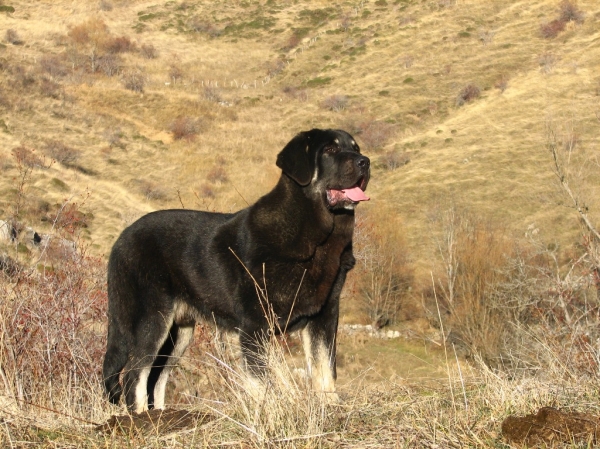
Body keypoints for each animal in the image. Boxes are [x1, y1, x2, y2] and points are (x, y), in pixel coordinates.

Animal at [103, 128, 370, 412]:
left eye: (355, 148)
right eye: (330, 150)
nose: (365, 161)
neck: (319, 238)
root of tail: (120, 241)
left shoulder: (324, 315)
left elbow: (325, 369)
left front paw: (329, 407)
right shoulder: (255, 322)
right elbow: (261, 380)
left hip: (178, 333)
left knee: (156, 377)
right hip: (152, 318)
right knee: (135, 374)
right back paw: (141, 417)